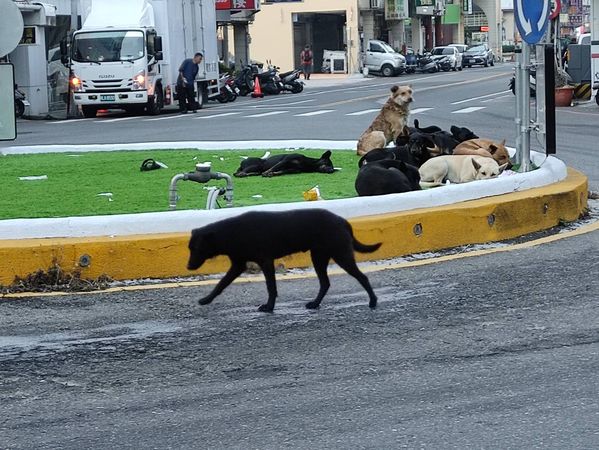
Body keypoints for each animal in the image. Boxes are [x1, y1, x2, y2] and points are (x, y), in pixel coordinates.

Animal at [188, 209, 382, 312]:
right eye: (190, 248)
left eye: (196, 248)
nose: (188, 266)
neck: (231, 233)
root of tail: (342, 220)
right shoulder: (238, 265)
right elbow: (221, 284)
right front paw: (206, 300)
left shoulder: (265, 261)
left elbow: (271, 287)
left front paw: (269, 307)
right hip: (319, 257)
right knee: (325, 283)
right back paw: (315, 303)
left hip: (340, 255)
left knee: (362, 277)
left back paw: (373, 302)